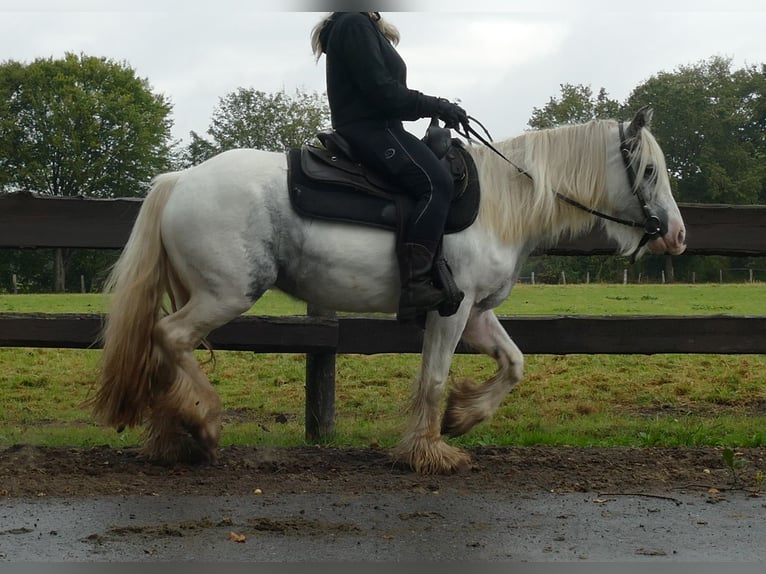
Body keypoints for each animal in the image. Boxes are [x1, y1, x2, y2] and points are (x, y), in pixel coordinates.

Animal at [91, 108, 688, 476]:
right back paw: (205, 421)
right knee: (170, 337)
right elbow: (434, 378)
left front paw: (463, 417)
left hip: (203, 293)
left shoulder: (476, 314)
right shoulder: (450, 313)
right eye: (649, 171)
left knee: (166, 348)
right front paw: (431, 451)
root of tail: (180, 181)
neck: (499, 204)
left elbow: (515, 363)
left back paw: (175, 437)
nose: (678, 236)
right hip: (227, 294)